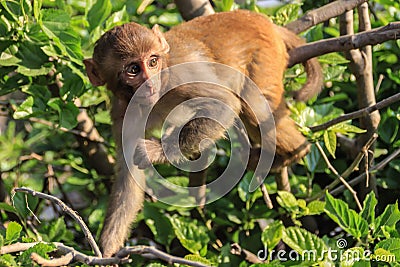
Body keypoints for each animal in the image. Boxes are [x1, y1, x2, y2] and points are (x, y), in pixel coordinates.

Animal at [83, 9, 324, 258]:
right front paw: (106, 251)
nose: (150, 84)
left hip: (264, 59)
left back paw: (294, 152)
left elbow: (225, 103)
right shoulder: (123, 115)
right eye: (133, 69)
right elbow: (128, 180)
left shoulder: (180, 75)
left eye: (153, 61)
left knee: (254, 107)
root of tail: (260, 20)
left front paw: (157, 151)